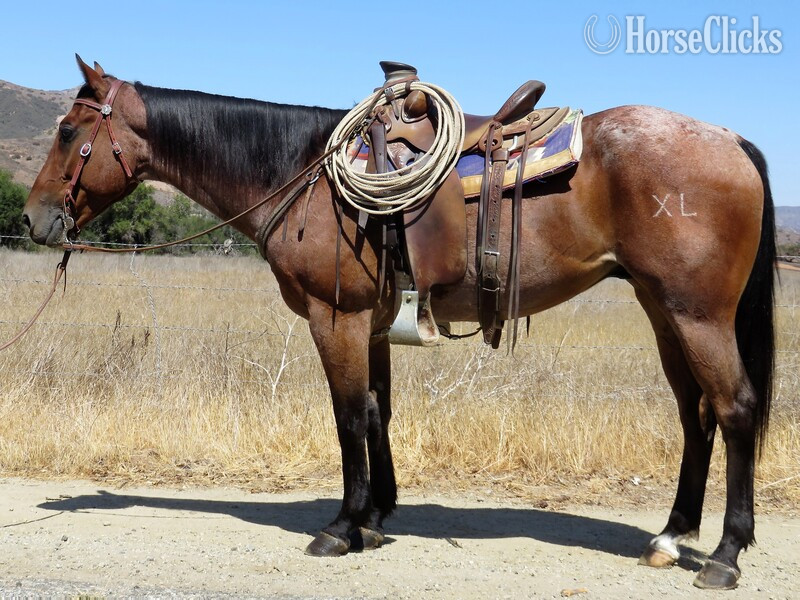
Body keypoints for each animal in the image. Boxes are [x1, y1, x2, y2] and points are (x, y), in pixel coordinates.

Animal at [22, 57, 775, 590]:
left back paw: (725, 554)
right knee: (695, 415)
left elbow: (348, 416)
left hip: (697, 314)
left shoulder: (337, 318)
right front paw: (378, 517)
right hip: (662, 309)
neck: (301, 173)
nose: (33, 219)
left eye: (68, 131)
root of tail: (732, 139)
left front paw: (342, 526)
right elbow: (378, 411)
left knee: (734, 410)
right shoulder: (376, 322)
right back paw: (671, 536)